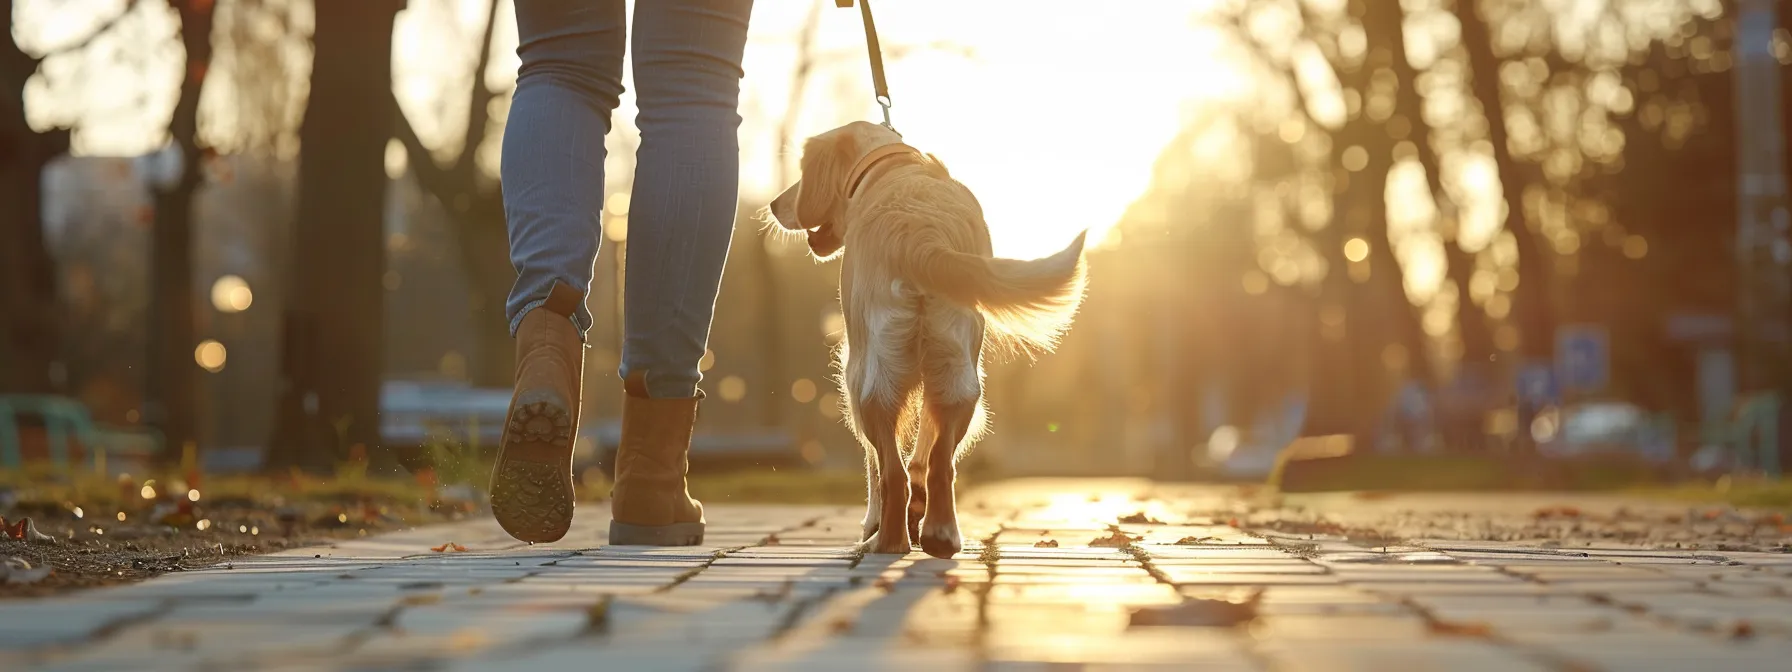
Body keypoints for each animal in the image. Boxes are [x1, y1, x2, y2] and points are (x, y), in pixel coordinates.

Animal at [763, 122, 1082, 559]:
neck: (890, 167)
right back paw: (939, 534)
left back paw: (886, 539)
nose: (774, 204)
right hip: (959, 377)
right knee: (939, 463)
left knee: (889, 471)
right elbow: (923, 453)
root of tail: (921, 235)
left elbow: (875, 464)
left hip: (867, 379)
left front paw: (872, 523)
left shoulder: (855, 369)